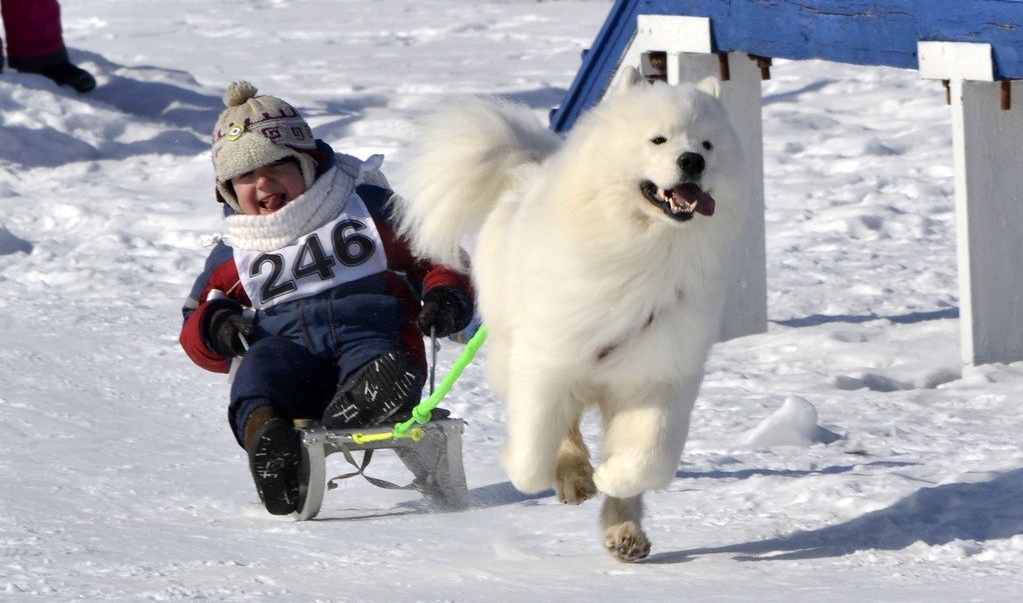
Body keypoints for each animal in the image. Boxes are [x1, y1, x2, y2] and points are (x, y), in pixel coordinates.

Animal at [394, 67, 748, 561]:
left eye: (708, 144)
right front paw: (536, 471)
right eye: (658, 139)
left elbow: (648, 458)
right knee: (563, 430)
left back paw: (624, 533)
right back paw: (575, 479)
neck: (647, 249)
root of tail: (524, 173)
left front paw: (614, 477)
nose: (692, 161)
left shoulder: (659, 371)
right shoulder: (547, 356)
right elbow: (534, 444)